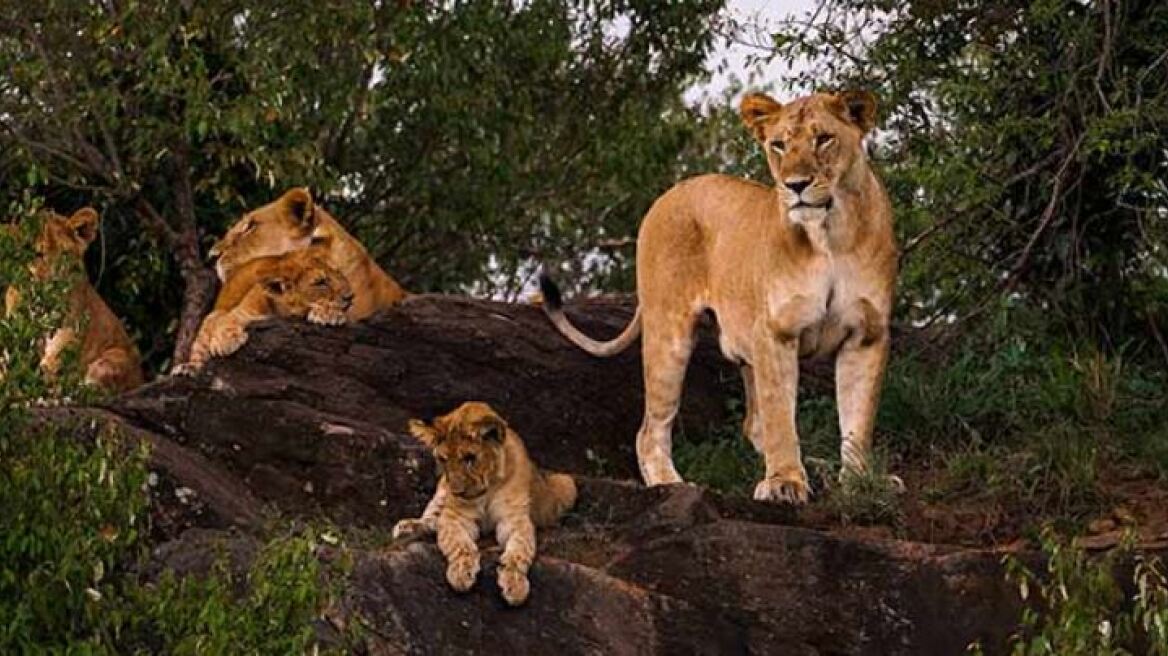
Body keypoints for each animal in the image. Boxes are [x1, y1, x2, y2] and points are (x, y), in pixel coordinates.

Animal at [4, 208, 144, 393]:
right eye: (37, 254)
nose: (54, 282)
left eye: (65, 254)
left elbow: (53, 361)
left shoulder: (69, 328)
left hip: (113, 357)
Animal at [175, 248, 353, 374]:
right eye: (320, 282)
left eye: (338, 272)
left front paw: (330, 314)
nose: (351, 296)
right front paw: (227, 343)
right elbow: (227, 321)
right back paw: (187, 368)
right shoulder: (235, 312)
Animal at [392, 401, 577, 606]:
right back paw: (407, 528)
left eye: (470, 458)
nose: (456, 492)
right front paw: (461, 572)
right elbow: (460, 545)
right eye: (443, 459)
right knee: (432, 518)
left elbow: (520, 551)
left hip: (566, 483)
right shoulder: (455, 517)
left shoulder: (515, 520)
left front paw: (515, 584)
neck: (488, 488)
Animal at [540, 91, 898, 504]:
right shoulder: (775, 333)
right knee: (651, 430)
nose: (795, 184)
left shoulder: (867, 334)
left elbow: (857, 419)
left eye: (823, 139)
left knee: (753, 423)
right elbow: (780, 416)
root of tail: (670, 192)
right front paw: (785, 482)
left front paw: (859, 483)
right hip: (670, 334)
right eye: (779, 145)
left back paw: (818, 466)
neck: (830, 234)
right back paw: (674, 484)